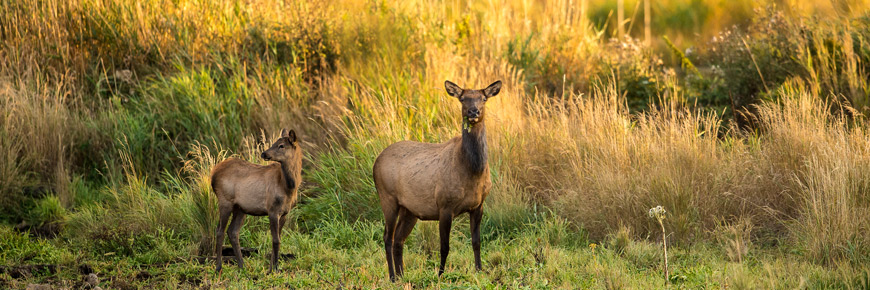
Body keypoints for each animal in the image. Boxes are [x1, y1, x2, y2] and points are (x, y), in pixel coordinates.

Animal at [211, 128, 304, 274]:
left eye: (281, 145)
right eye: (275, 143)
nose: (264, 153)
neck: (288, 187)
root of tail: (212, 176)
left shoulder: (284, 213)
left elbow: (278, 239)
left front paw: (272, 267)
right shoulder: (272, 210)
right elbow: (276, 240)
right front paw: (274, 269)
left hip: (240, 208)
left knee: (232, 231)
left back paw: (242, 266)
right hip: (225, 201)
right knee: (220, 231)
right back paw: (219, 267)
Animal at [374, 79, 504, 280]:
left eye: (483, 98)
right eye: (462, 99)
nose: (473, 112)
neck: (473, 173)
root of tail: (376, 161)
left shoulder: (478, 205)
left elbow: (476, 242)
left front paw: (479, 271)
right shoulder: (444, 205)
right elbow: (444, 246)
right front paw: (440, 274)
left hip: (409, 209)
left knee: (399, 239)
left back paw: (403, 275)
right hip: (387, 197)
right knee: (388, 237)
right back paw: (393, 277)